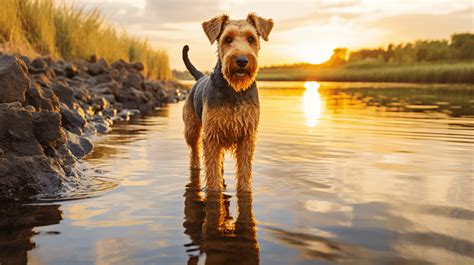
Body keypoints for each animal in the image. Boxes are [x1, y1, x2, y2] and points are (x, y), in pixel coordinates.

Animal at [181, 13, 272, 191]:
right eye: (228, 39)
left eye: (251, 38)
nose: (242, 61)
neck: (234, 90)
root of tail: (200, 77)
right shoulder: (211, 135)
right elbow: (212, 174)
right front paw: (215, 191)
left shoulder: (247, 136)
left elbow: (244, 173)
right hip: (191, 129)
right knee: (194, 152)